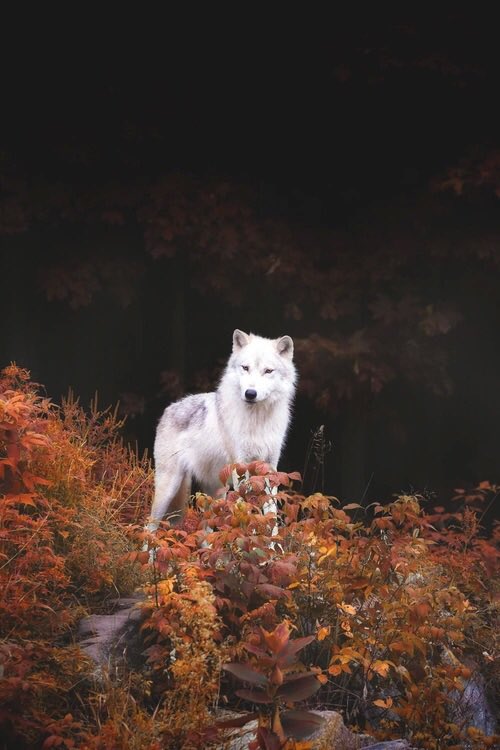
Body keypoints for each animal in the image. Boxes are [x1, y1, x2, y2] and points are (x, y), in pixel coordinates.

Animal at [147, 329, 296, 530]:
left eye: (268, 371)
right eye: (245, 368)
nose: (250, 393)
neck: (257, 420)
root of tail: (169, 408)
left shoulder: (270, 468)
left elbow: (270, 511)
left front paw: (271, 539)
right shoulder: (240, 467)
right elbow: (247, 507)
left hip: (214, 493)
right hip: (169, 488)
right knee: (149, 526)